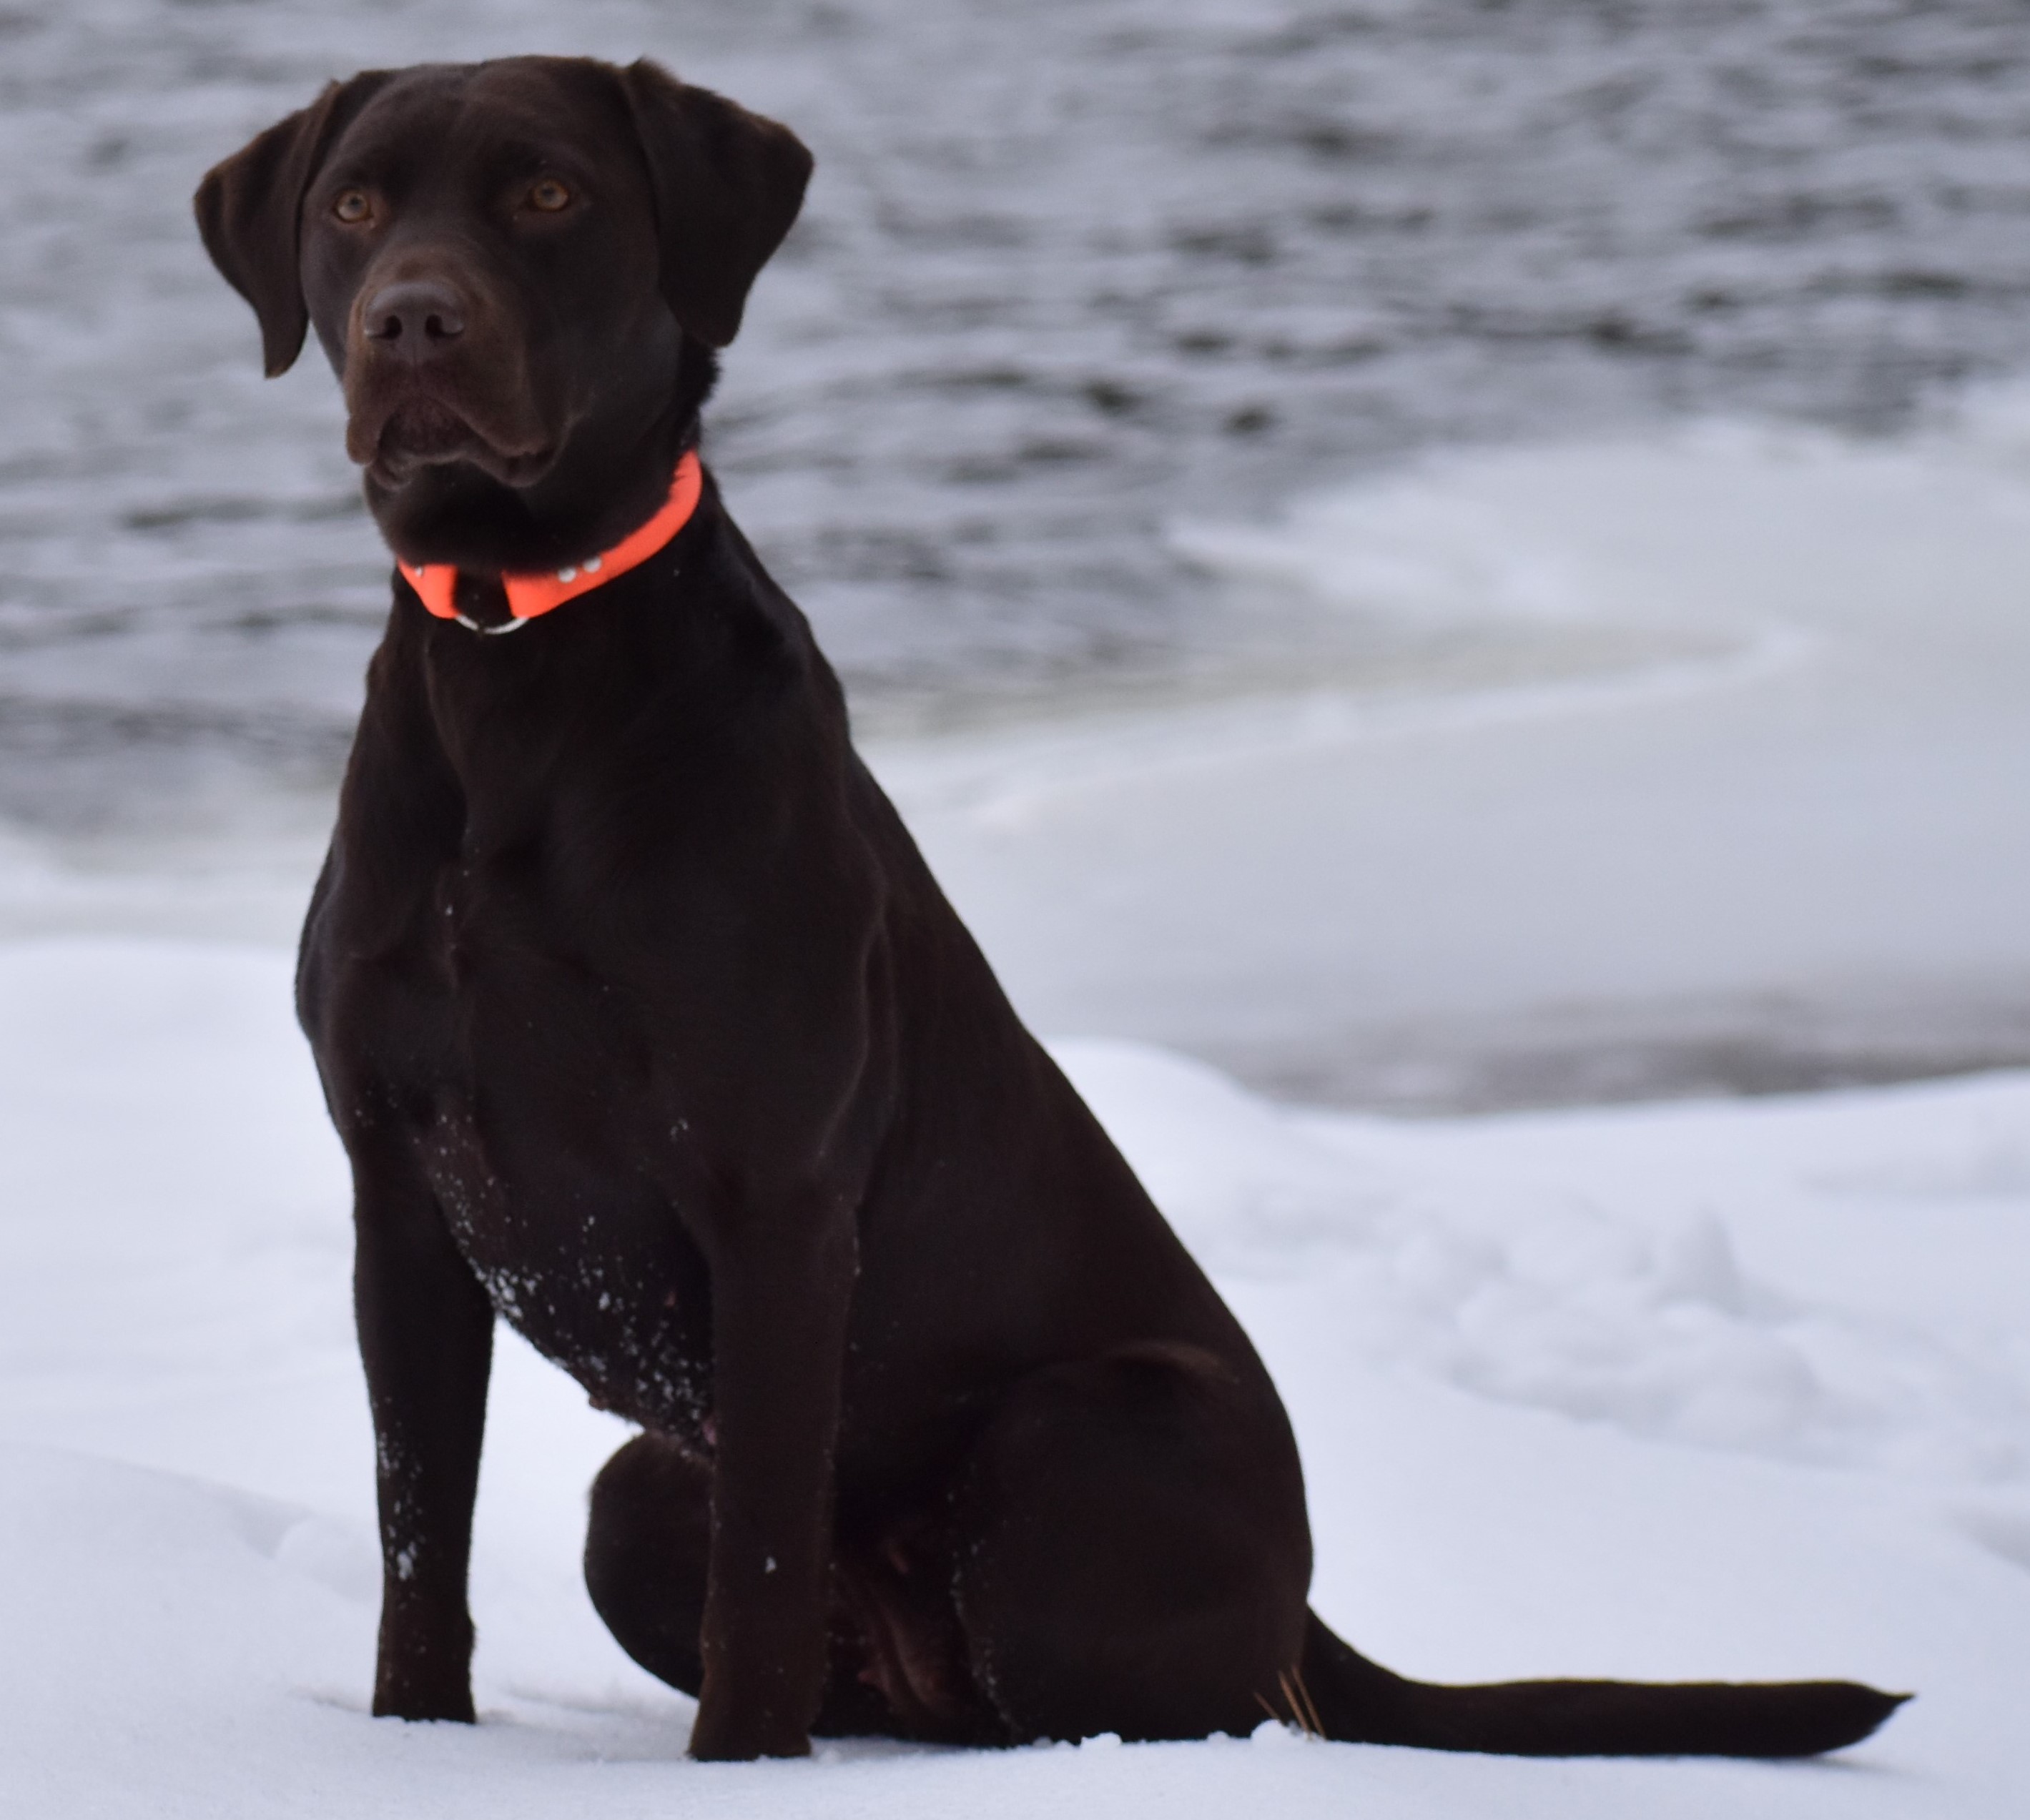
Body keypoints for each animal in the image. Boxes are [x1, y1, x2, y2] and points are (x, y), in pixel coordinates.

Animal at [190, 56, 1900, 1761]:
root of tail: (1306, 1612)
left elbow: (760, 1563)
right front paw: (412, 1742)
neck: (516, 661)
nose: (414, 319)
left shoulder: (775, 1201)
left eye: (549, 193)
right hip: (642, 1497)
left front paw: (736, 1778)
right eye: (356, 205)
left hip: (1079, 1431)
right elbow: (423, 1537)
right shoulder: (403, 1192)